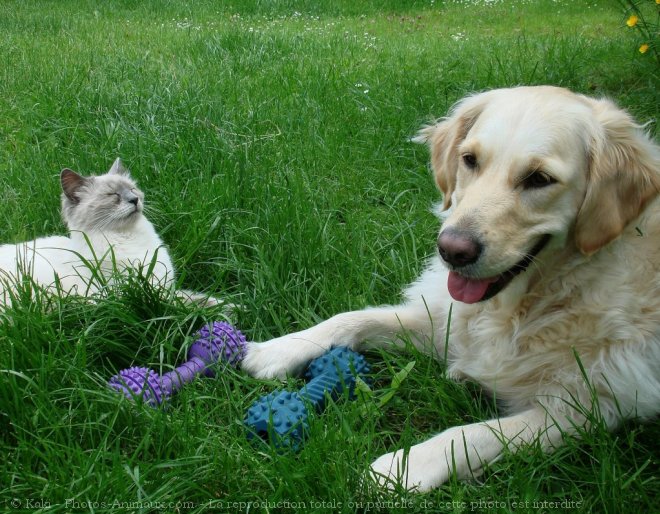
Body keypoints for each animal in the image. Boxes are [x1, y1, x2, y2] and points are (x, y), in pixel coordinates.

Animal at [0, 158, 214, 306]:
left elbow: (203, 299)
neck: (127, 238)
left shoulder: (165, 288)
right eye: (113, 195)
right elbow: (191, 304)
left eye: (132, 189)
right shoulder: (136, 295)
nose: (135, 200)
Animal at [242, 86, 660, 490]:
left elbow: (474, 433)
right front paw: (279, 349)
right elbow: (353, 319)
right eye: (470, 160)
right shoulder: (445, 322)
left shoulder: (590, 406)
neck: (525, 303)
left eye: (539, 179)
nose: (452, 251)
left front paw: (401, 468)